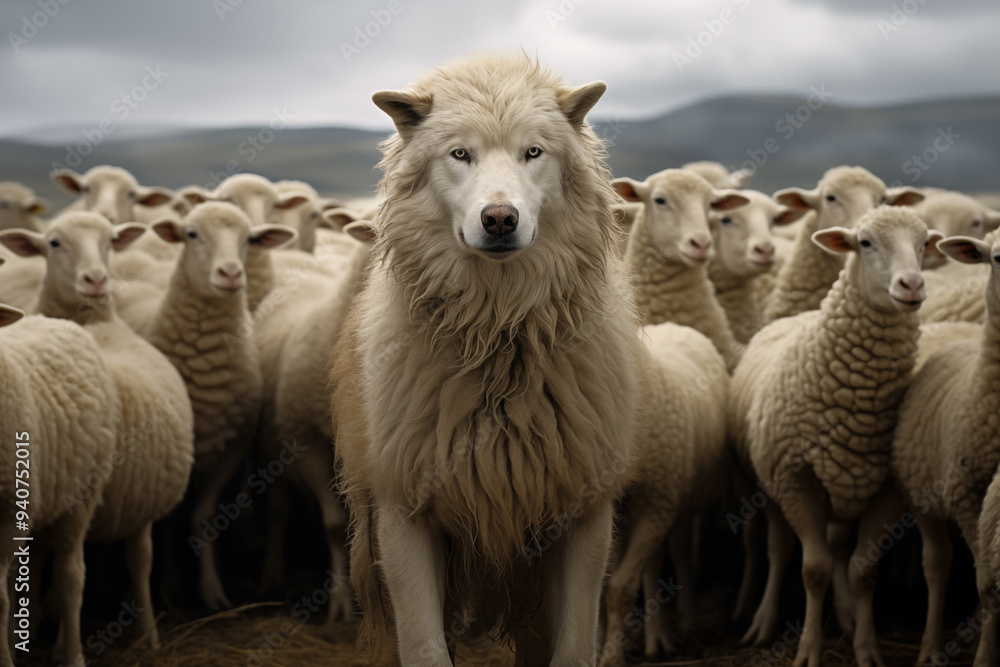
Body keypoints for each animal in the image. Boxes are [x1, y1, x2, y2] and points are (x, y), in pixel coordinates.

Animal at [115, 202, 294, 610]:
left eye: (249, 240)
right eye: (192, 234)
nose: (230, 273)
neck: (205, 357)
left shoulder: (235, 443)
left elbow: (203, 515)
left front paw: (212, 590)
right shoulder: (173, 451)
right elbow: (168, 519)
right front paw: (166, 585)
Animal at [600, 322, 728, 666]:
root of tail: (673, 325)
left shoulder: (656, 505)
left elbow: (621, 588)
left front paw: (612, 655)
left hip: (680, 499)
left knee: (678, 552)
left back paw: (682, 625)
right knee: (653, 561)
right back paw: (654, 636)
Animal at [730, 207, 939, 667]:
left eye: (923, 245)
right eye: (865, 242)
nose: (912, 285)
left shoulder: (887, 488)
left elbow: (863, 570)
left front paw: (867, 647)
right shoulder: (796, 478)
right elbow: (814, 570)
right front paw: (808, 649)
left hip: (846, 484)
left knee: (840, 547)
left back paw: (844, 615)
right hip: (769, 484)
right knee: (778, 550)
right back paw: (763, 621)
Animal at [870, 230, 1000, 666]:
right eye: (997, 258)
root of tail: (948, 326)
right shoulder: (967, 496)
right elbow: (986, 584)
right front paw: (984, 658)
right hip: (922, 493)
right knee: (938, 564)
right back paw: (930, 648)